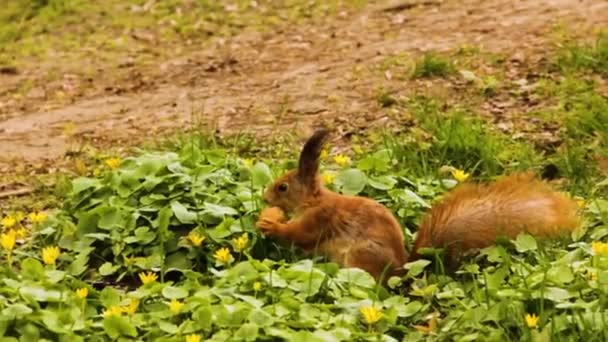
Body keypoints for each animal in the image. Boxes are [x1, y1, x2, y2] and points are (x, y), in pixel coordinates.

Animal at [255, 130, 580, 282]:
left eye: (283, 187)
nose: (265, 198)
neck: (313, 200)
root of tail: (404, 272)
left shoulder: (319, 219)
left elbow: (299, 235)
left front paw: (271, 224)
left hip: (360, 257)